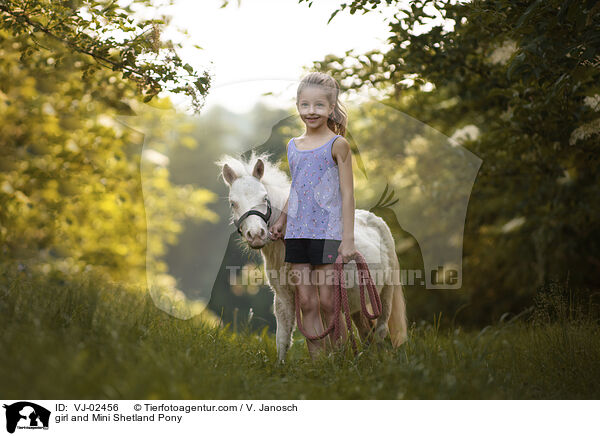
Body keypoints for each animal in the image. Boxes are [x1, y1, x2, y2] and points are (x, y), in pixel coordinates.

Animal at [216, 152, 408, 362]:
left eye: (264, 197)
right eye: (233, 203)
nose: (257, 235)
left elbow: (330, 335)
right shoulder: (284, 298)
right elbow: (284, 339)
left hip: (385, 294)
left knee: (380, 332)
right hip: (357, 304)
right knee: (366, 333)